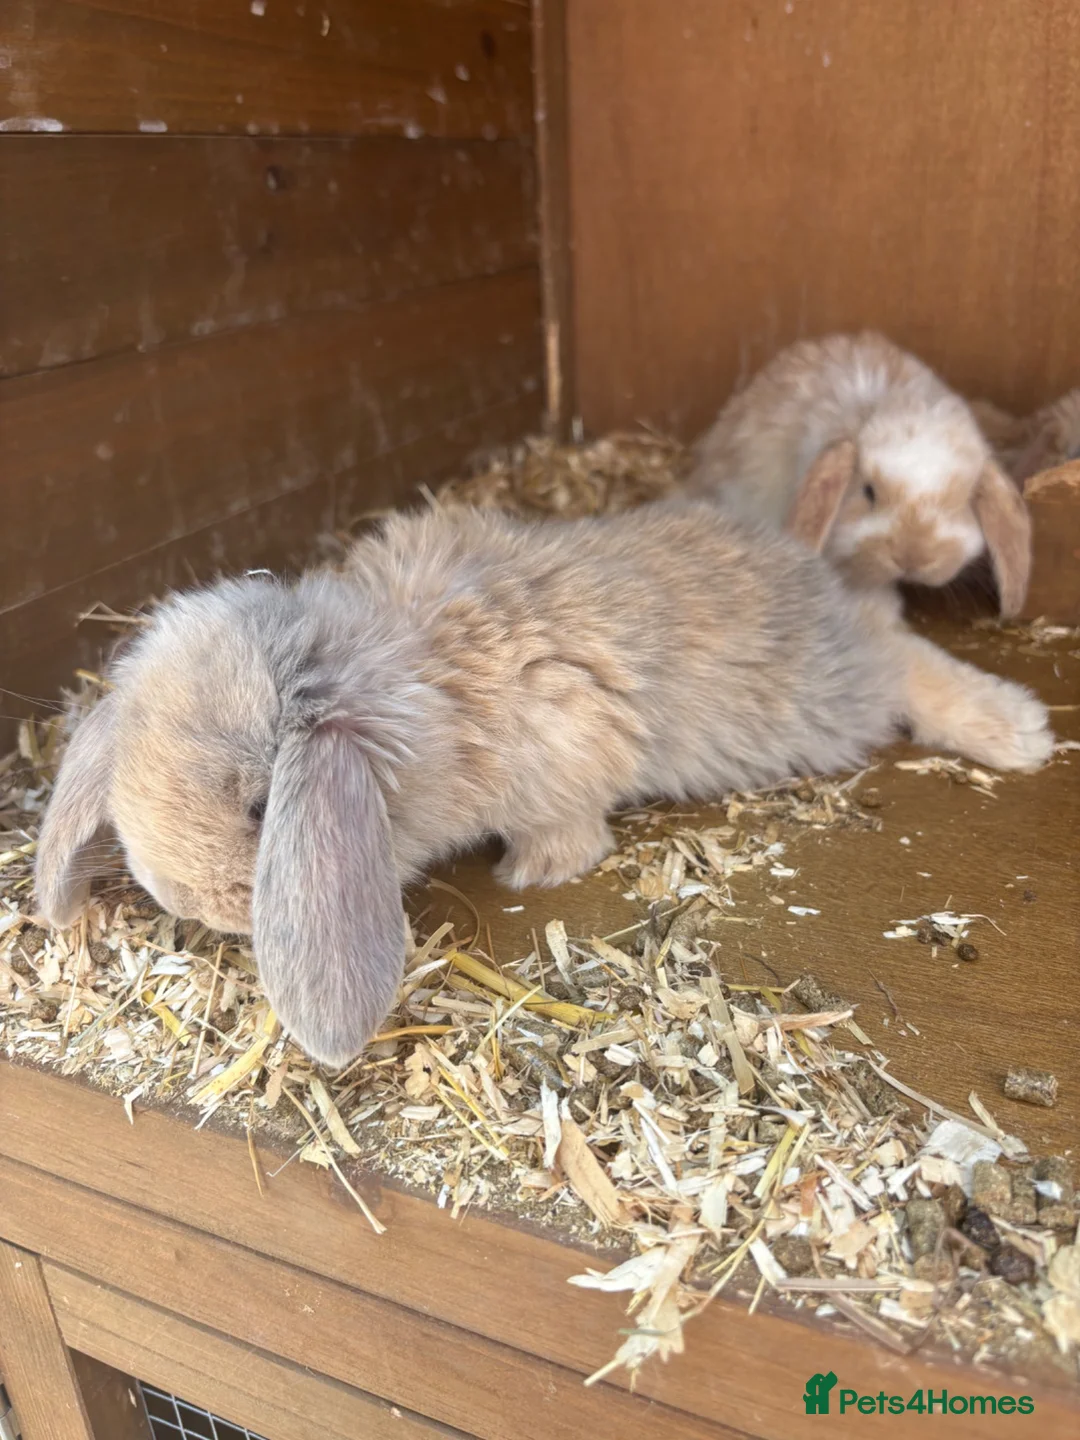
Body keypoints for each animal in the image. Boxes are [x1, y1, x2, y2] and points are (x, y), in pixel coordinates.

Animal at [34, 501, 1051, 1068]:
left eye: (258, 806)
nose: (188, 904)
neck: (399, 679)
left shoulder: (564, 740)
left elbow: (570, 826)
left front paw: (537, 871)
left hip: (834, 699)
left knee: (903, 659)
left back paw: (1019, 732)